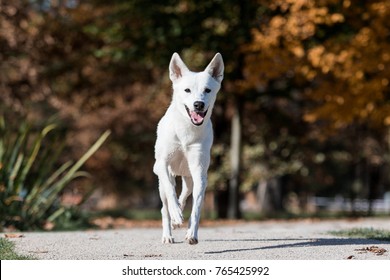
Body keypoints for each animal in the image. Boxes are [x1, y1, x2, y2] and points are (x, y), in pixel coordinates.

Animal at [154, 52, 224, 245]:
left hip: (189, 178)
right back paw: (168, 232)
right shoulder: (162, 164)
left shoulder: (199, 172)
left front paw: (192, 233)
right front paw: (176, 215)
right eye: (187, 90)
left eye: (207, 90)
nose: (198, 104)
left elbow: (197, 206)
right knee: (165, 204)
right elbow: (170, 191)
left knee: (185, 194)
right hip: (163, 180)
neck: (187, 129)